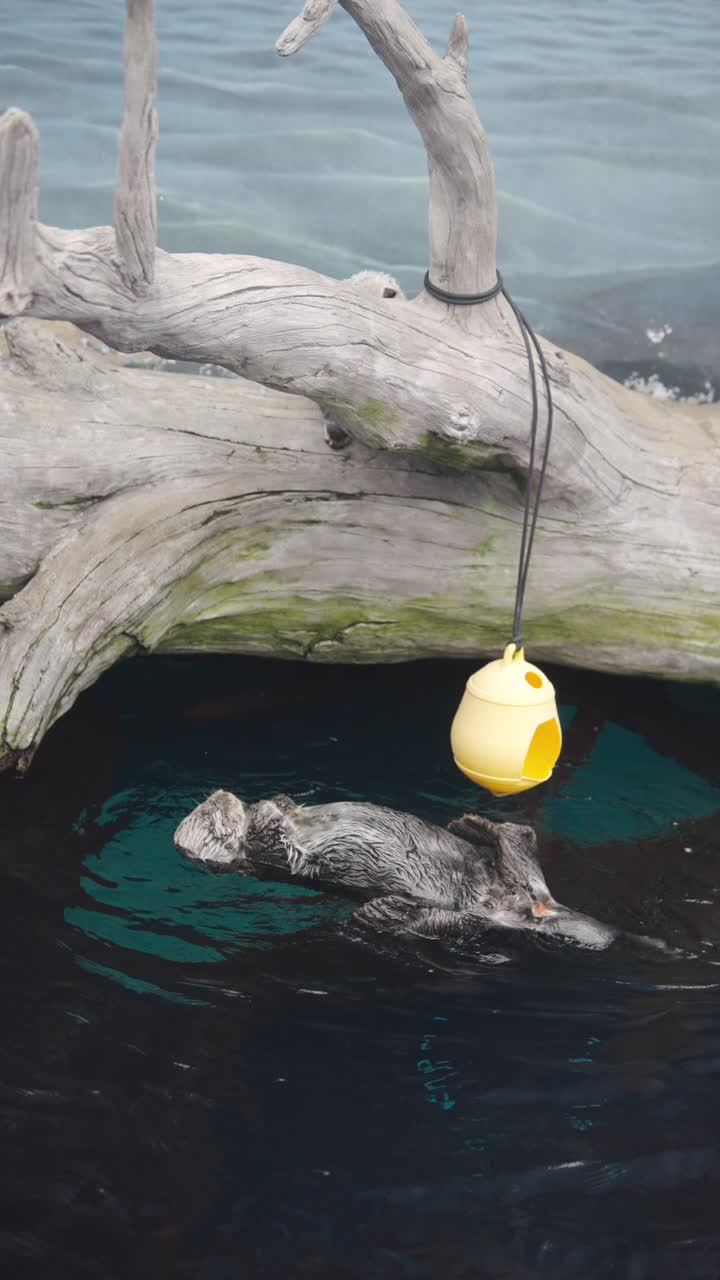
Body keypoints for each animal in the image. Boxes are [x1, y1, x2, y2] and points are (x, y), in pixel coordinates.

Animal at [174, 791, 665, 951]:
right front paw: (266, 813)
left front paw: (276, 801)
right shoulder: (269, 855)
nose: (220, 794)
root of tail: (532, 909)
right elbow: (272, 838)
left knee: (518, 844)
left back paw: (474, 825)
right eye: (213, 821)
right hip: (471, 915)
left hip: (522, 885)